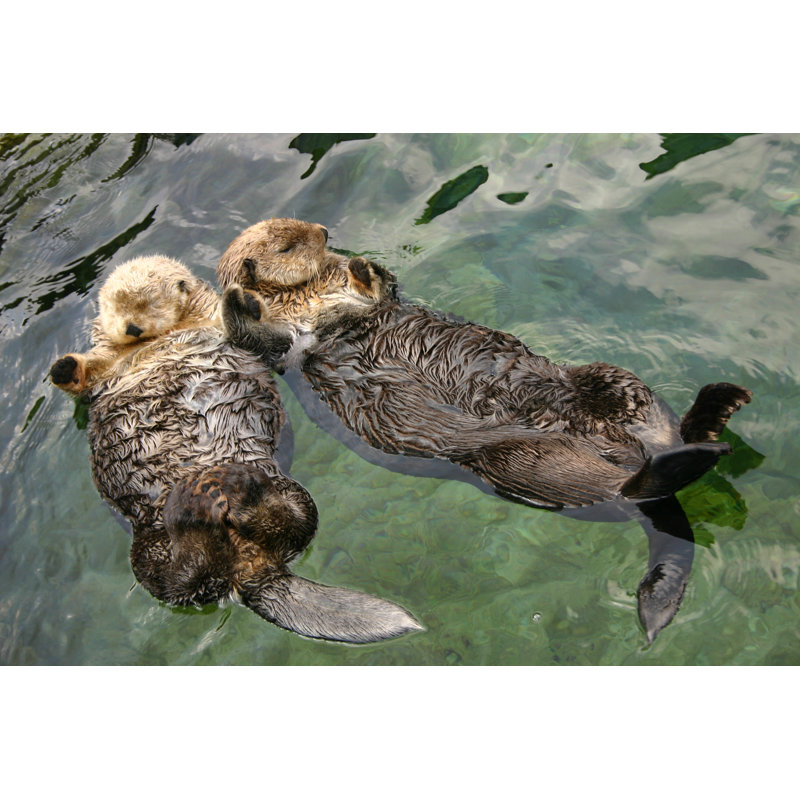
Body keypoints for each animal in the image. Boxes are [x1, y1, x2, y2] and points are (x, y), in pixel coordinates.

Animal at [49, 256, 422, 644]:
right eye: (113, 308)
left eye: (149, 304)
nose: (132, 327)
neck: (161, 337)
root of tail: (249, 568)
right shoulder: (104, 365)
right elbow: (84, 375)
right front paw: (63, 366)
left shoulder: (219, 322)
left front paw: (247, 302)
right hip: (149, 543)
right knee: (179, 579)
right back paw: (201, 508)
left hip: (283, 486)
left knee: (295, 524)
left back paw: (238, 494)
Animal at [217, 218, 753, 642]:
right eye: (288, 246)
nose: (326, 233)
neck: (309, 297)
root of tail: (624, 452)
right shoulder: (286, 350)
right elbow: (260, 338)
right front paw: (239, 298)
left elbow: (384, 288)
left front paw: (363, 267)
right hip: (521, 461)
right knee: (620, 490)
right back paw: (694, 451)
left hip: (609, 383)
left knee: (654, 428)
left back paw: (715, 412)